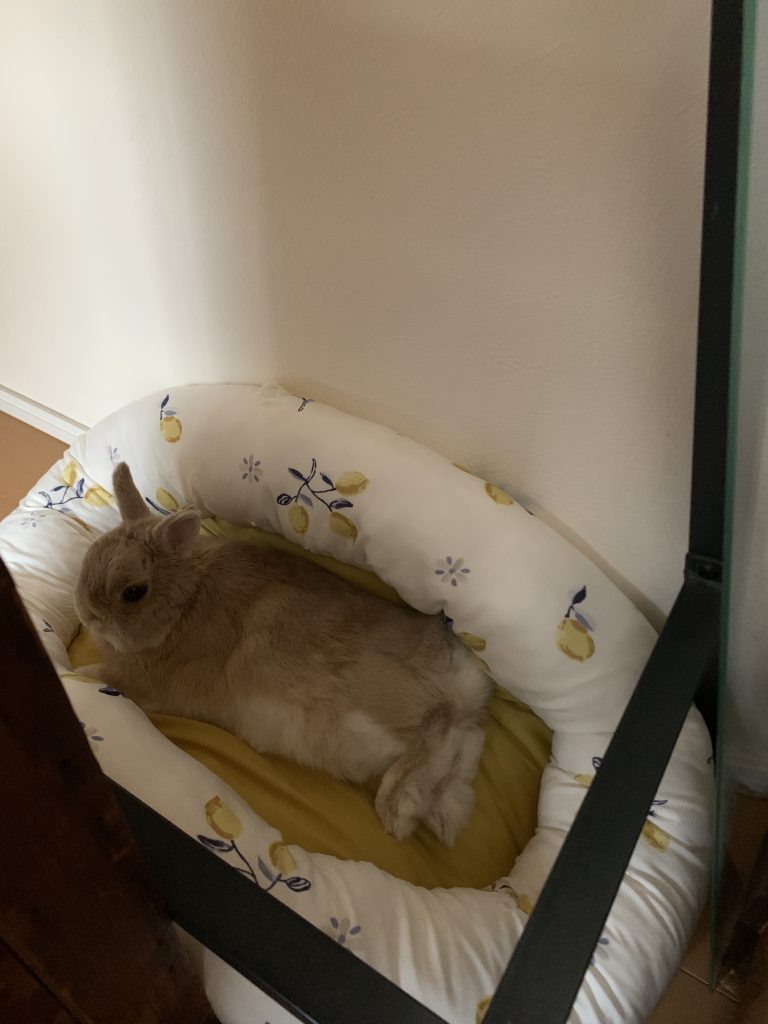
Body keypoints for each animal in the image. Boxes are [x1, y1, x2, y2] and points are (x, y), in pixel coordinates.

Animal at [73, 463, 493, 845]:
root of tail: (459, 677)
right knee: (462, 750)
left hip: (386, 703)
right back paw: (443, 820)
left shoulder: (146, 684)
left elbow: (109, 677)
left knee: (436, 727)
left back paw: (397, 812)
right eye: (87, 560)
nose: (87, 615)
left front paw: (78, 674)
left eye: (133, 592)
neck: (186, 600)